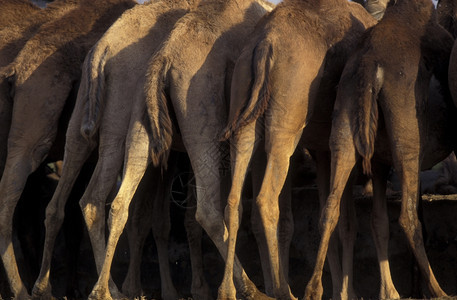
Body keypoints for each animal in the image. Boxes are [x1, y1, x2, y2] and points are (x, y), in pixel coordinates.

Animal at [31, 1, 209, 298]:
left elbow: (160, 218)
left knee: (65, 200)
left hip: (85, 118)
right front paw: (190, 289)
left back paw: (45, 287)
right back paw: (106, 289)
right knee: (110, 201)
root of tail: (102, 49)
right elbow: (177, 217)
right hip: (122, 119)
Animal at [83, 0, 278, 298]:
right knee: (208, 210)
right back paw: (247, 289)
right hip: (199, 106)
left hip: (132, 114)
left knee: (106, 200)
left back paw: (106, 291)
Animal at [302, 0, 452, 300]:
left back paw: (314, 289)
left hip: (345, 117)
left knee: (330, 209)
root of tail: (371, 66)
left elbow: (378, 221)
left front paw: (388, 291)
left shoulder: (380, 164)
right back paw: (438, 290)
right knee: (408, 216)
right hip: (406, 135)